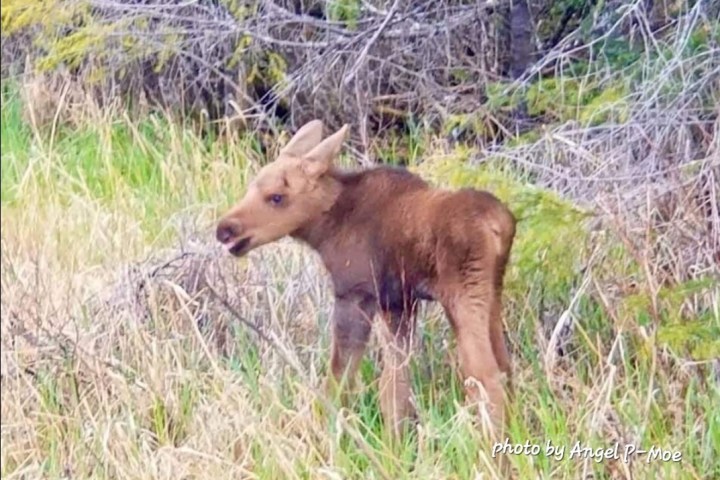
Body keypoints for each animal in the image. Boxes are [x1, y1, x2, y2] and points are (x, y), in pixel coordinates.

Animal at [216, 120, 517, 438]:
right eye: (251, 186)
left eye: (276, 197)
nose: (225, 229)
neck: (326, 231)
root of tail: (497, 225)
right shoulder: (399, 302)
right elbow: (395, 386)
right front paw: (396, 441)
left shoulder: (356, 293)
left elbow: (340, 377)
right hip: (493, 290)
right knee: (504, 365)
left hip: (462, 292)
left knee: (484, 375)